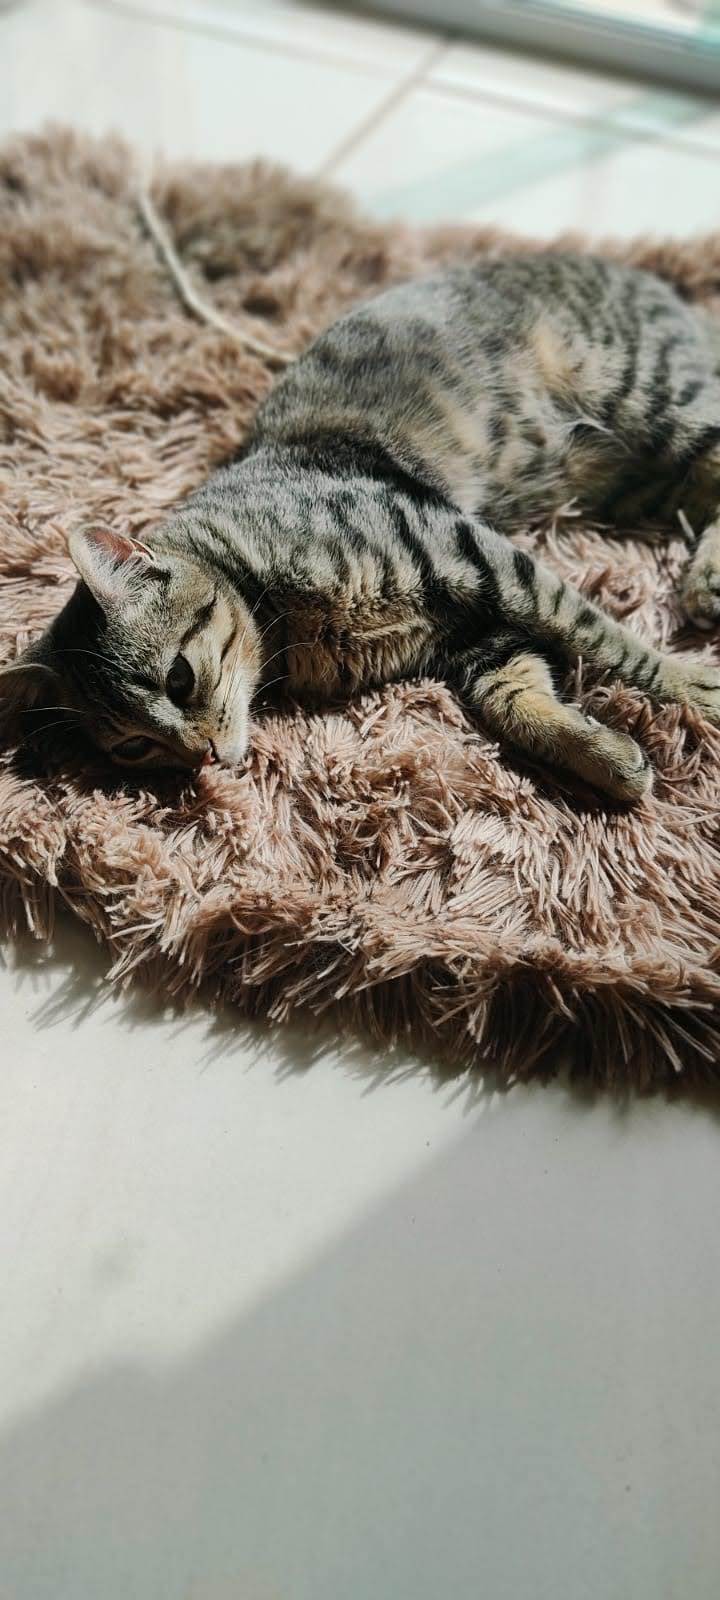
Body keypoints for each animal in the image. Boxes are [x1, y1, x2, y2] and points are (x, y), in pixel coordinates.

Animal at [5, 249, 720, 802]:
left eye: (179, 678)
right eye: (132, 747)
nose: (202, 754)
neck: (283, 627)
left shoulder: (474, 556)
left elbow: (599, 634)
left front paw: (689, 688)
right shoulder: (475, 631)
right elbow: (518, 700)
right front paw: (606, 757)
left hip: (654, 399)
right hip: (635, 480)